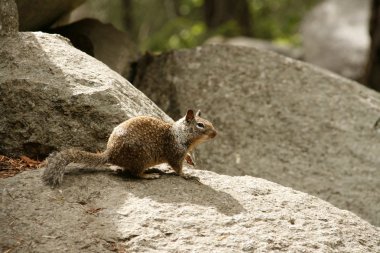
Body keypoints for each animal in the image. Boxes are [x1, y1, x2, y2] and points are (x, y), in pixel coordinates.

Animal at [42, 107, 217, 187]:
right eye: (200, 125)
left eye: (209, 122)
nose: (215, 133)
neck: (180, 134)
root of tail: (110, 153)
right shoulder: (174, 152)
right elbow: (177, 168)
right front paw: (187, 175)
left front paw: (191, 160)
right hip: (141, 158)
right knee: (135, 174)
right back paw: (150, 175)